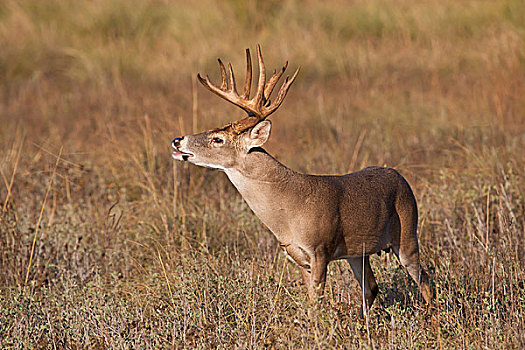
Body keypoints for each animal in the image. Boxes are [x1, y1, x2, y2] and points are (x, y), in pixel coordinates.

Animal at [172, 45, 430, 314]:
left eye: (217, 139)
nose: (177, 140)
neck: (289, 209)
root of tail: (400, 176)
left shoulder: (320, 250)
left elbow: (317, 303)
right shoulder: (297, 257)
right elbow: (311, 303)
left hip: (407, 234)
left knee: (424, 279)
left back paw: (432, 315)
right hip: (358, 252)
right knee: (371, 287)